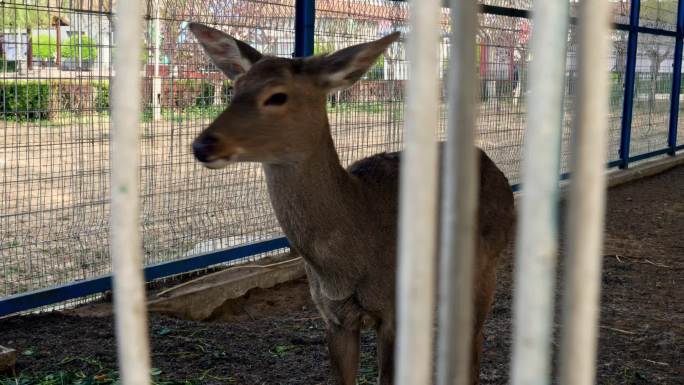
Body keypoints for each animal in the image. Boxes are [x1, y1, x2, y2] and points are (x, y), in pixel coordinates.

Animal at [187, 23, 512, 384]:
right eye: (235, 88)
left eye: (277, 95)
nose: (203, 145)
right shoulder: (334, 317)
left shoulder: (393, 311)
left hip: (487, 265)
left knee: (475, 339)